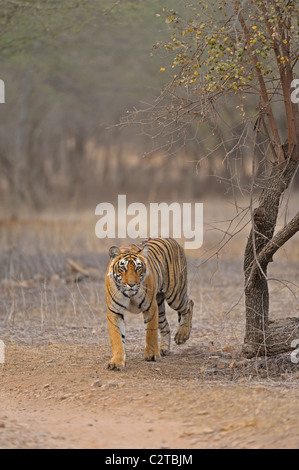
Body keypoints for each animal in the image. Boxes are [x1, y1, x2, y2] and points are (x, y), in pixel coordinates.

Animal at [105, 237, 195, 370]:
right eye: (123, 268)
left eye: (138, 268)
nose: (131, 284)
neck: (130, 294)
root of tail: (171, 239)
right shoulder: (115, 311)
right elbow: (116, 338)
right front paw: (116, 362)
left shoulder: (150, 307)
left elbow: (151, 332)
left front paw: (151, 355)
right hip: (160, 304)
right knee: (165, 326)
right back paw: (164, 349)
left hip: (175, 295)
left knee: (189, 304)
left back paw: (181, 336)